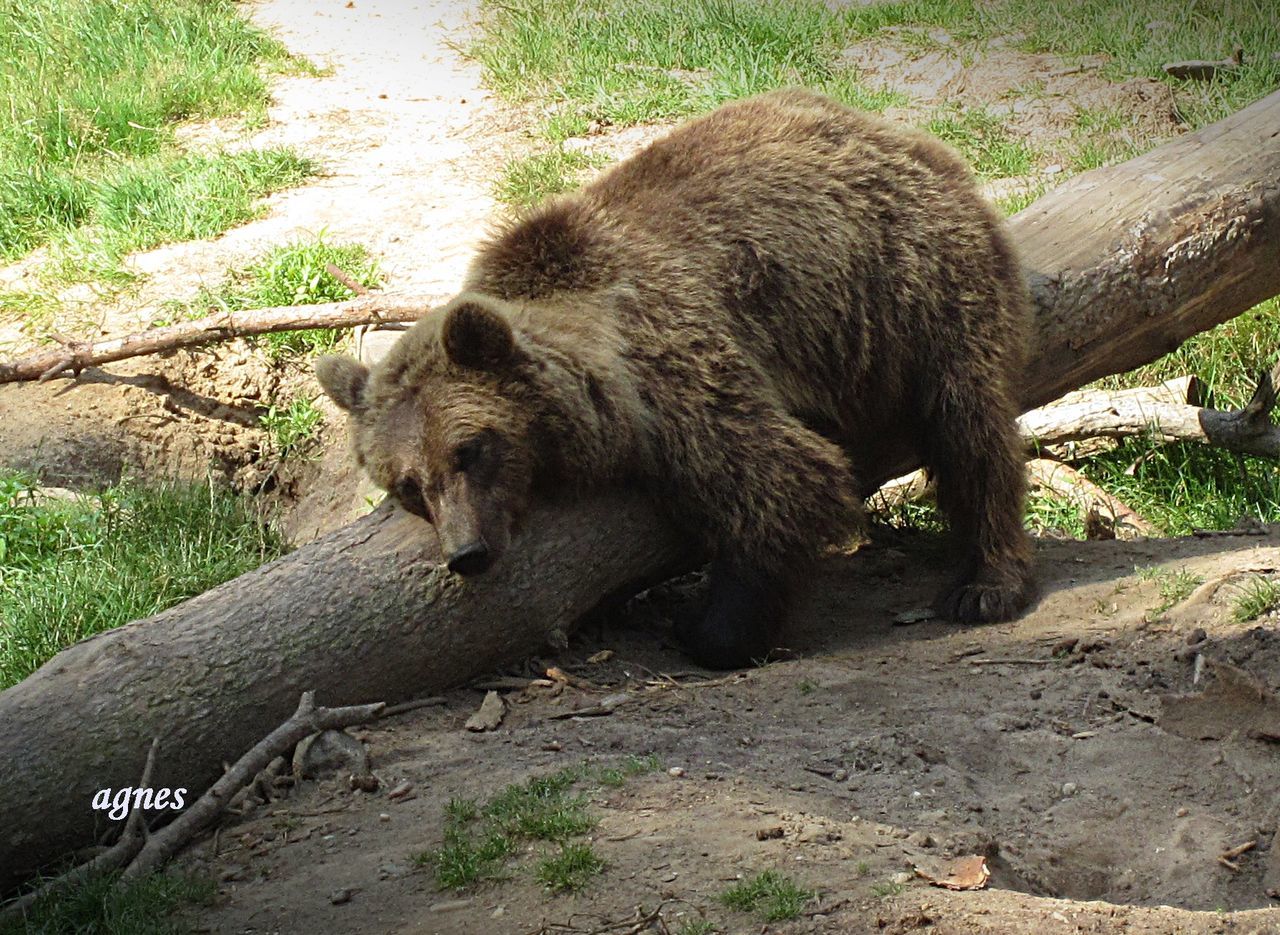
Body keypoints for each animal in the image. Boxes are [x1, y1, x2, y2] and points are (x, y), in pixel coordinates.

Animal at [314, 87, 1034, 666]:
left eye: (470, 448)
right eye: (408, 484)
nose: (468, 552)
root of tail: (907, 137)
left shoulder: (676, 366)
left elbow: (781, 480)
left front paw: (706, 626)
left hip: (915, 277)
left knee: (968, 422)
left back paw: (986, 580)